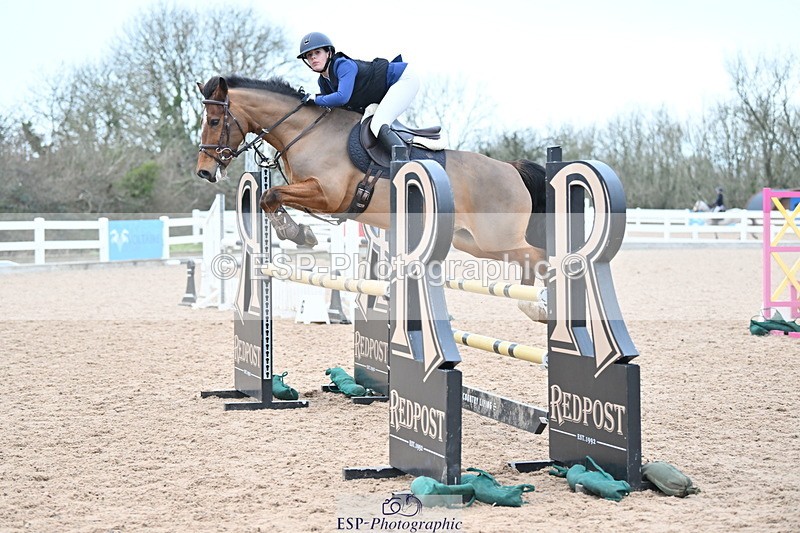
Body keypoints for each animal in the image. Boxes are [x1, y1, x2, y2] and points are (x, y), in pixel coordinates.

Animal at [195, 75, 548, 319]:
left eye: (214, 121)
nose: (204, 172)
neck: (306, 132)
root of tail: (510, 168)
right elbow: (270, 198)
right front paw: (300, 232)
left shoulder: (327, 194)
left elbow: (270, 194)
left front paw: (296, 233)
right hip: (474, 242)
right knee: (528, 261)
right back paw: (532, 308)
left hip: (496, 238)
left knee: (539, 257)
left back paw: (540, 308)